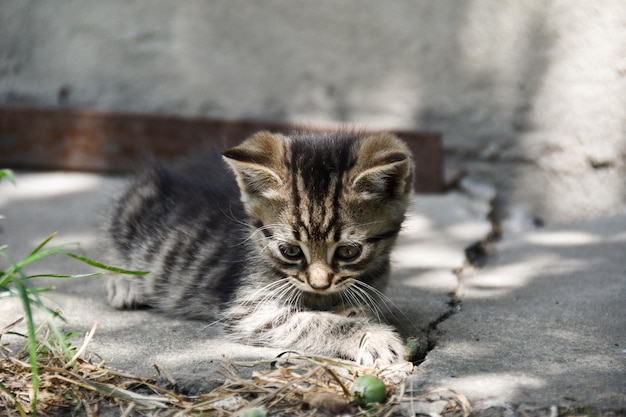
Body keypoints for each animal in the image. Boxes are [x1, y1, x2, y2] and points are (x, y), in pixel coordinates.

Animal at [105, 131, 412, 364]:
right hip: (135, 202)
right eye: (290, 251)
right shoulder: (248, 309)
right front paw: (371, 337)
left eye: (349, 252)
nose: (319, 284)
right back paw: (125, 282)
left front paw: (357, 317)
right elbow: (311, 322)